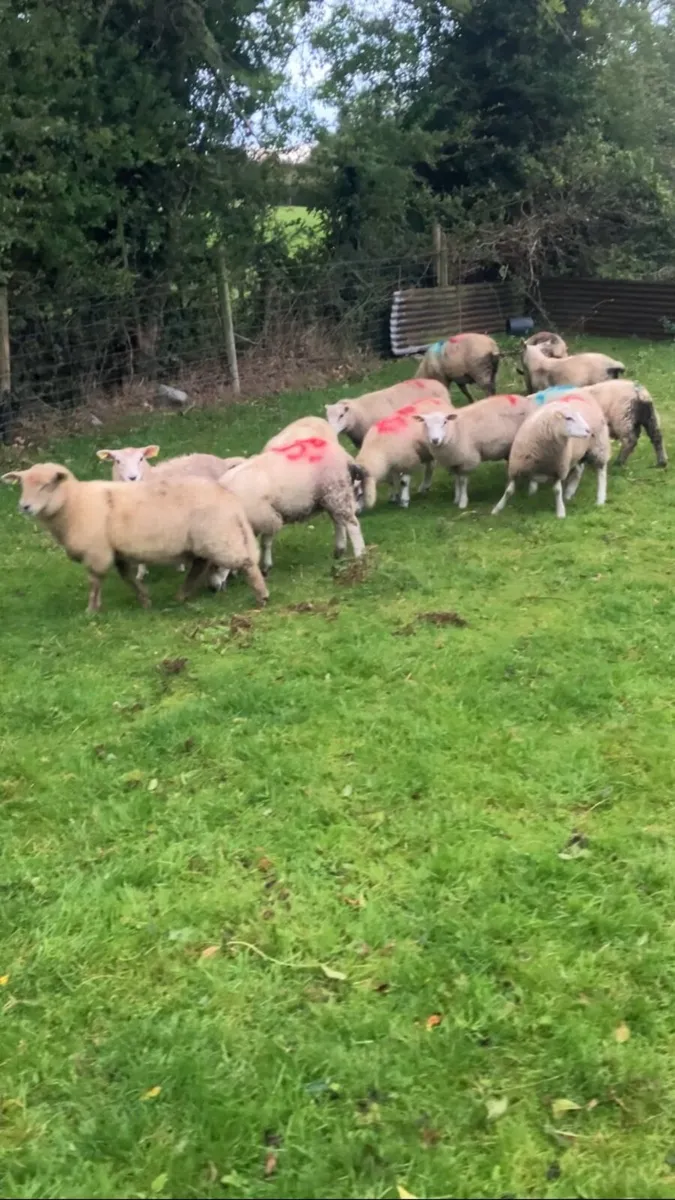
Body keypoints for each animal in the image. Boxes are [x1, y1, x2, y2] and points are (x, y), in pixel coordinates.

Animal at [1, 463, 268, 612]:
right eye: (22, 485)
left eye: (47, 485)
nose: (24, 507)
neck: (75, 503)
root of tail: (229, 498)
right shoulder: (116, 552)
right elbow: (128, 578)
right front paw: (145, 600)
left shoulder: (97, 553)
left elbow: (94, 582)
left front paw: (91, 610)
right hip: (205, 540)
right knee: (199, 565)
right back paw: (181, 595)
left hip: (219, 537)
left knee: (245, 562)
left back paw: (261, 595)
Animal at [218, 434, 366, 576]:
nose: (217, 585)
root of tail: (344, 455)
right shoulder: (268, 517)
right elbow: (264, 542)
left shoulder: (265, 517)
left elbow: (264, 542)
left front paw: (264, 567)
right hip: (330, 496)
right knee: (338, 521)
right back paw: (339, 550)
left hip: (336, 490)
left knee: (352, 524)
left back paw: (360, 555)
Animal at [531, 381, 667, 468]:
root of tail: (639, 393)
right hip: (650, 417)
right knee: (657, 438)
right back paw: (662, 462)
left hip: (623, 418)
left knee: (630, 441)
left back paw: (619, 462)